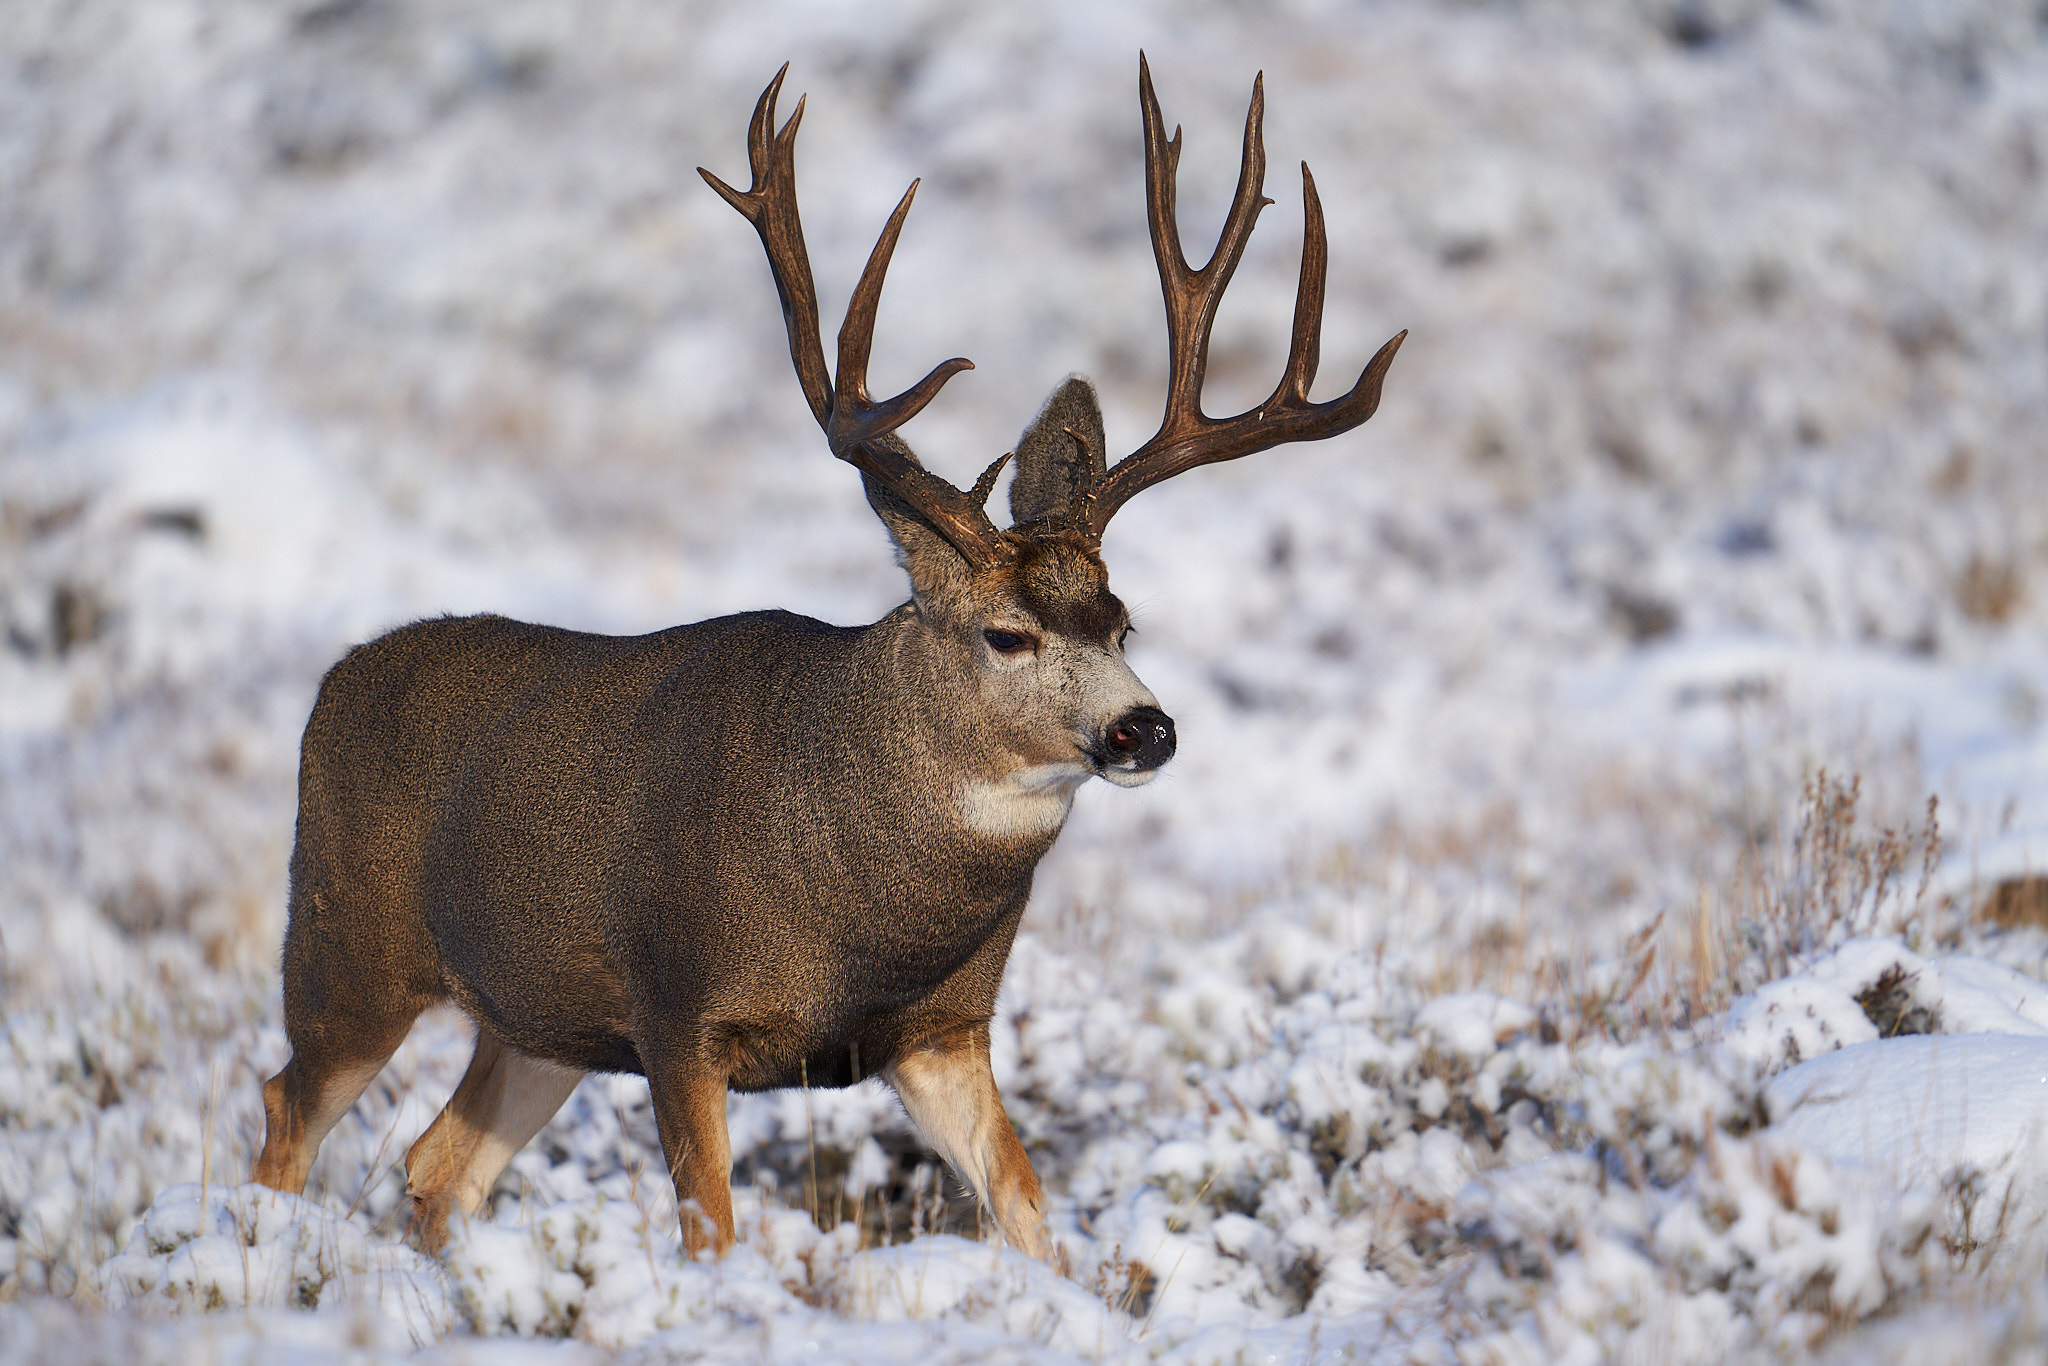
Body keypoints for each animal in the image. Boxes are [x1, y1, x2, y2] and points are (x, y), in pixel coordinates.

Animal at [249, 56, 1402, 1262]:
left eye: (1123, 620)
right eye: (1007, 632)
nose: (1146, 728)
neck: (860, 901)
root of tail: (336, 679)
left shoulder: (942, 1028)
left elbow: (1026, 1200)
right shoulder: (677, 1006)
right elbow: (711, 1226)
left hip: (535, 1018)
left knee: (439, 1160)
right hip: (344, 941)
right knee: (287, 1107)